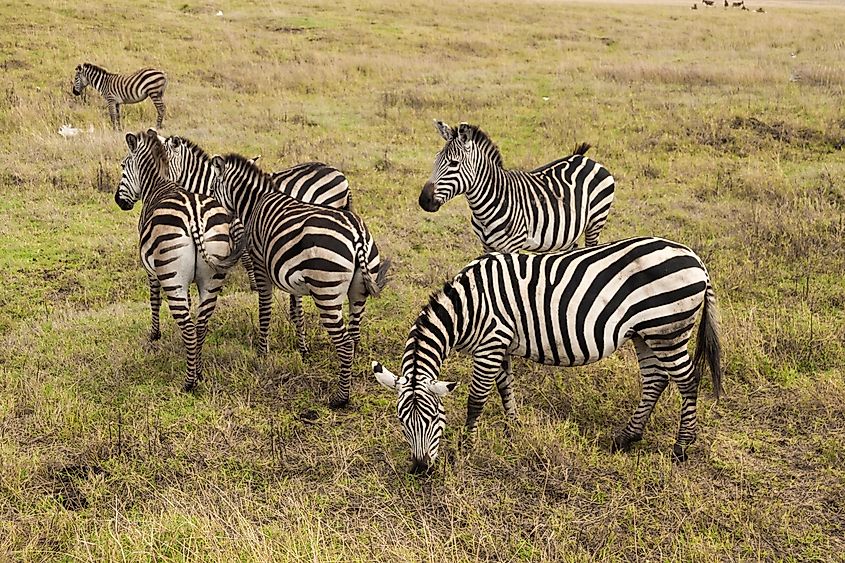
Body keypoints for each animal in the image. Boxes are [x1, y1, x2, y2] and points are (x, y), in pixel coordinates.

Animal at [115, 129, 245, 391]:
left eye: (123, 165)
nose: (118, 201)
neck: (158, 183)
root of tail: (194, 215)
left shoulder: (152, 271)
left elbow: (154, 300)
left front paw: (154, 335)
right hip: (212, 275)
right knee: (201, 323)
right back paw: (199, 371)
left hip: (171, 275)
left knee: (186, 324)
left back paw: (189, 382)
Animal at [209, 153, 390, 408]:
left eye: (212, 188)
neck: (254, 203)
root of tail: (356, 234)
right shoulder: (289, 273)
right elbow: (296, 308)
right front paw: (301, 347)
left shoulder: (260, 264)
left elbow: (264, 309)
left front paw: (262, 352)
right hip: (359, 289)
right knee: (354, 336)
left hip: (326, 291)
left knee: (344, 343)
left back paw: (340, 398)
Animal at [373, 237, 722, 474]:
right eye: (401, 420)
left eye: (433, 418)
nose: (420, 470)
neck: (467, 306)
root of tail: (695, 259)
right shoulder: (500, 343)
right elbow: (505, 388)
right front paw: (513, 429)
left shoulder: (490, 343)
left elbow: (476, 401)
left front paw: (465, 449)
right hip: (645, 333)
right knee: (655, 380)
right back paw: (625, 438)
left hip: (668, 329)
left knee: (688, 381)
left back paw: (681, 447)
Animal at [419, 121, 616, 253]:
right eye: (436, 159)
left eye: (454, 163)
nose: (423, 201)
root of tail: (585, 158)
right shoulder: (486, 246)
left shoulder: (511, 247)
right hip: (569, 233)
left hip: (596, 220)